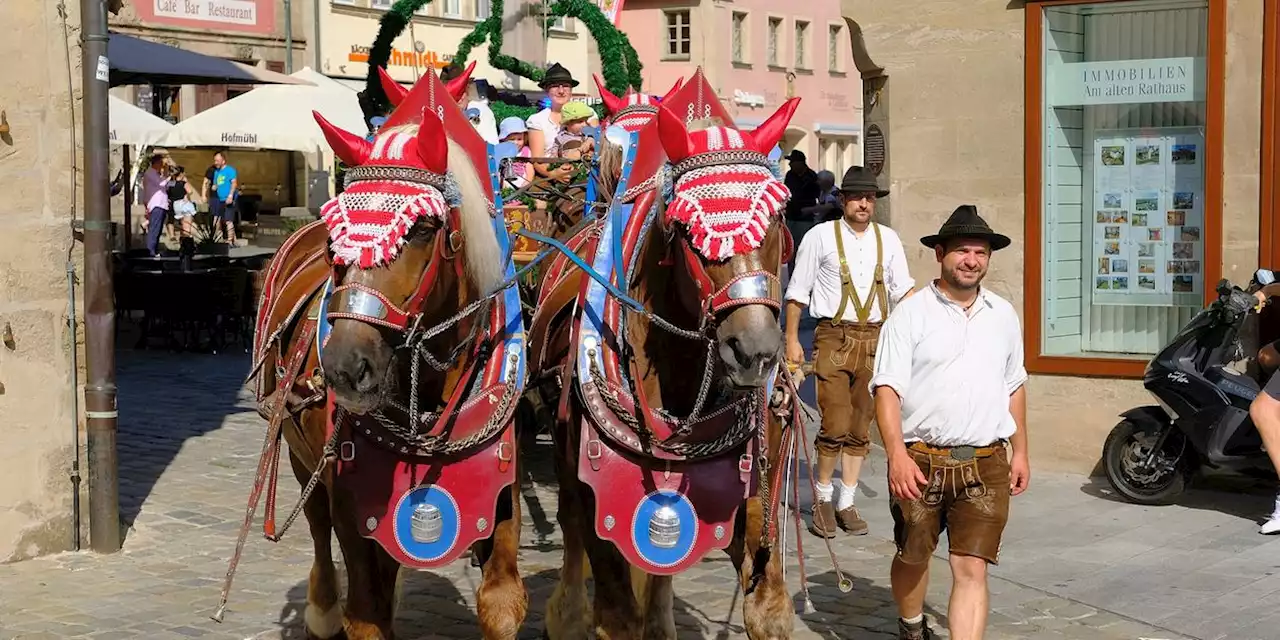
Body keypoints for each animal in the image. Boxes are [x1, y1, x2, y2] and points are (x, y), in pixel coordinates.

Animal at [244, 73, 524, 634]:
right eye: (338, 236)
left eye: (421, 229)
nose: (345, 368)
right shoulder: (352, 501)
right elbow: (366, 613)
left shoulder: (501, 489)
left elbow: (502, 604)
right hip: (301, 458)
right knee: (318, 526)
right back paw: (321, 608)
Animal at [529, 72, 798, 637]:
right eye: (684, 224)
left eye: (779, 214)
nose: (755, 351)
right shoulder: (596, 485)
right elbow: (615, 604)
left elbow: (767, 606)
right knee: (571, 527)